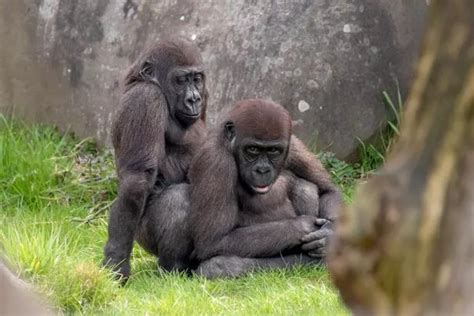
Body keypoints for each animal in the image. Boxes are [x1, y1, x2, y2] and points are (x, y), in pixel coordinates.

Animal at [188, 99, 340, 278]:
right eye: (252, 149)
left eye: (273, 150)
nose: (262, 170)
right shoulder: (215, 160)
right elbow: (214, 240)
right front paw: (305, 226)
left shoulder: (293, 145)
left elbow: (328, 190)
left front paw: (330, 234)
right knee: (219, 266)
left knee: (306, 186)